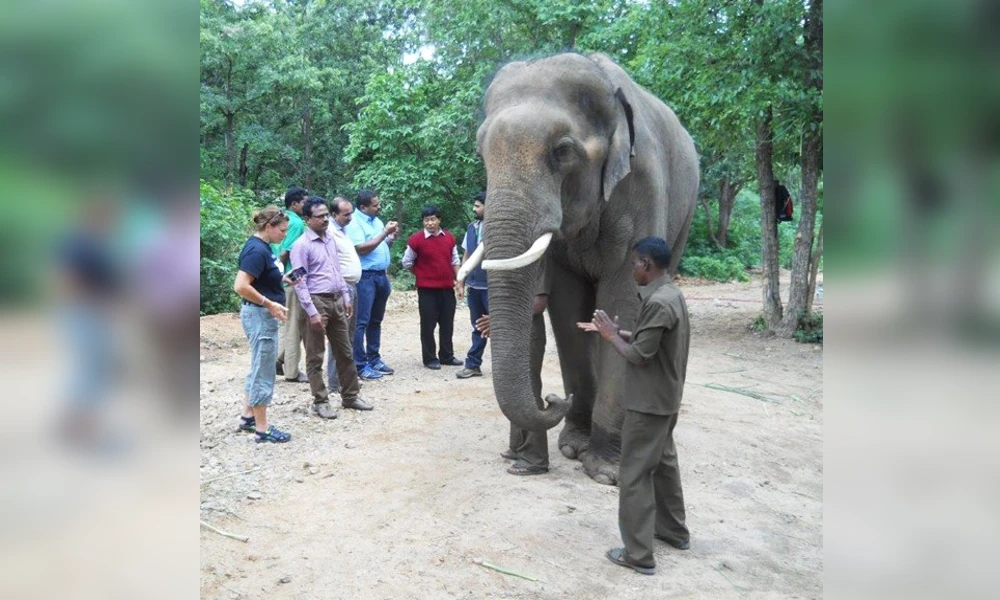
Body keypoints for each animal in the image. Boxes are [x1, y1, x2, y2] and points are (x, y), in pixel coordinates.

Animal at [458, 49, 700, 486]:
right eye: (481, 153)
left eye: (562, 151)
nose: (555, 398)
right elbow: (568, 307)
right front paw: (573, 447)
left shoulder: (641, 183)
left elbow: (624, 299)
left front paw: (605, 471)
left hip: (685, 212)